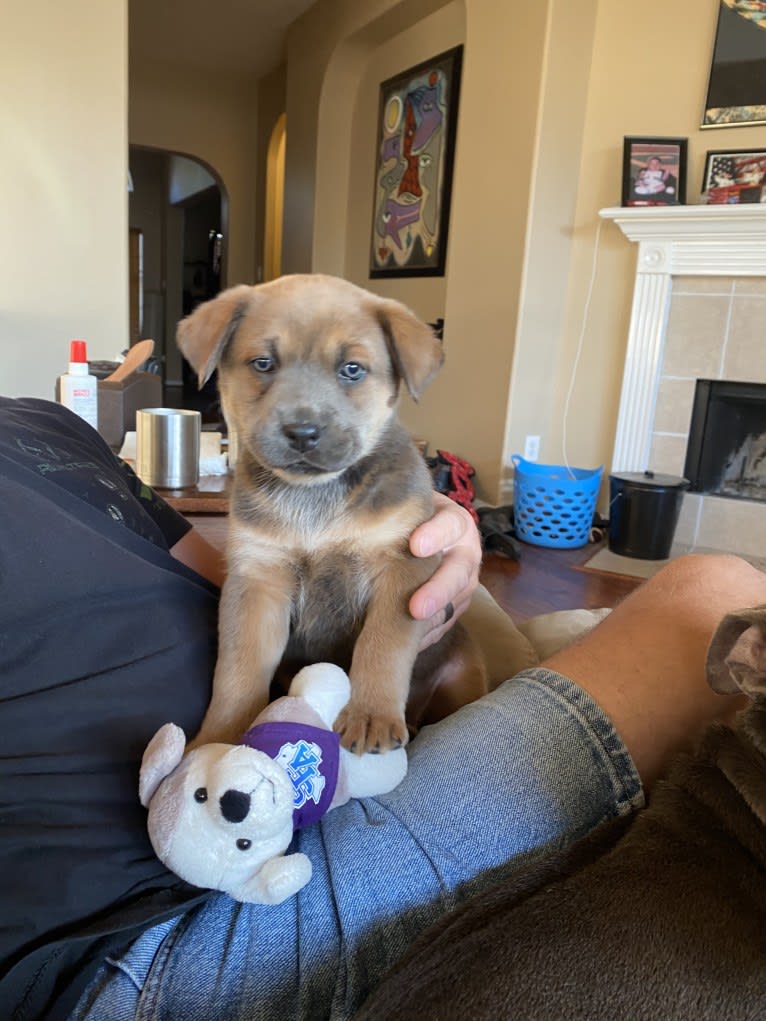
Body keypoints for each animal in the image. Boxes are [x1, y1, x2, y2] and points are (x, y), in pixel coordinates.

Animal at [178, 275, 486, 755]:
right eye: (263, 363)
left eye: (352, 369)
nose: (303, 432)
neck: (314, 497)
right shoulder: (258, 579)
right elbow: (237, 672)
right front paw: (218, 741)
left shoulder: (403, 567)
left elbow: (381, 647)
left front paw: (370, 716)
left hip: (465, 677)